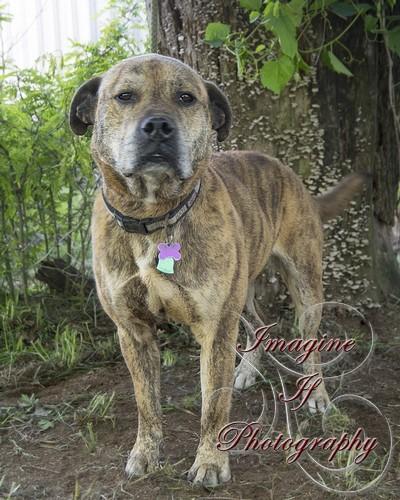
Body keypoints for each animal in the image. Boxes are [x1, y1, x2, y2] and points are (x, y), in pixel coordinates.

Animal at [69, 55, 366, 488]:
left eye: (186, 98)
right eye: (124, 96)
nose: (158, 126)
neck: (154, 216)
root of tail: (290, 174)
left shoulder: (215, 328)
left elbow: (213, 403)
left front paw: (210, 462)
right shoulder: (133, 330)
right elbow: (145, 401)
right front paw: (146, 452)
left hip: (303, 282)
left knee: (309, 341)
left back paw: (317, 396)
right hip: (242, 291)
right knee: (261, 323)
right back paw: (248, 371)